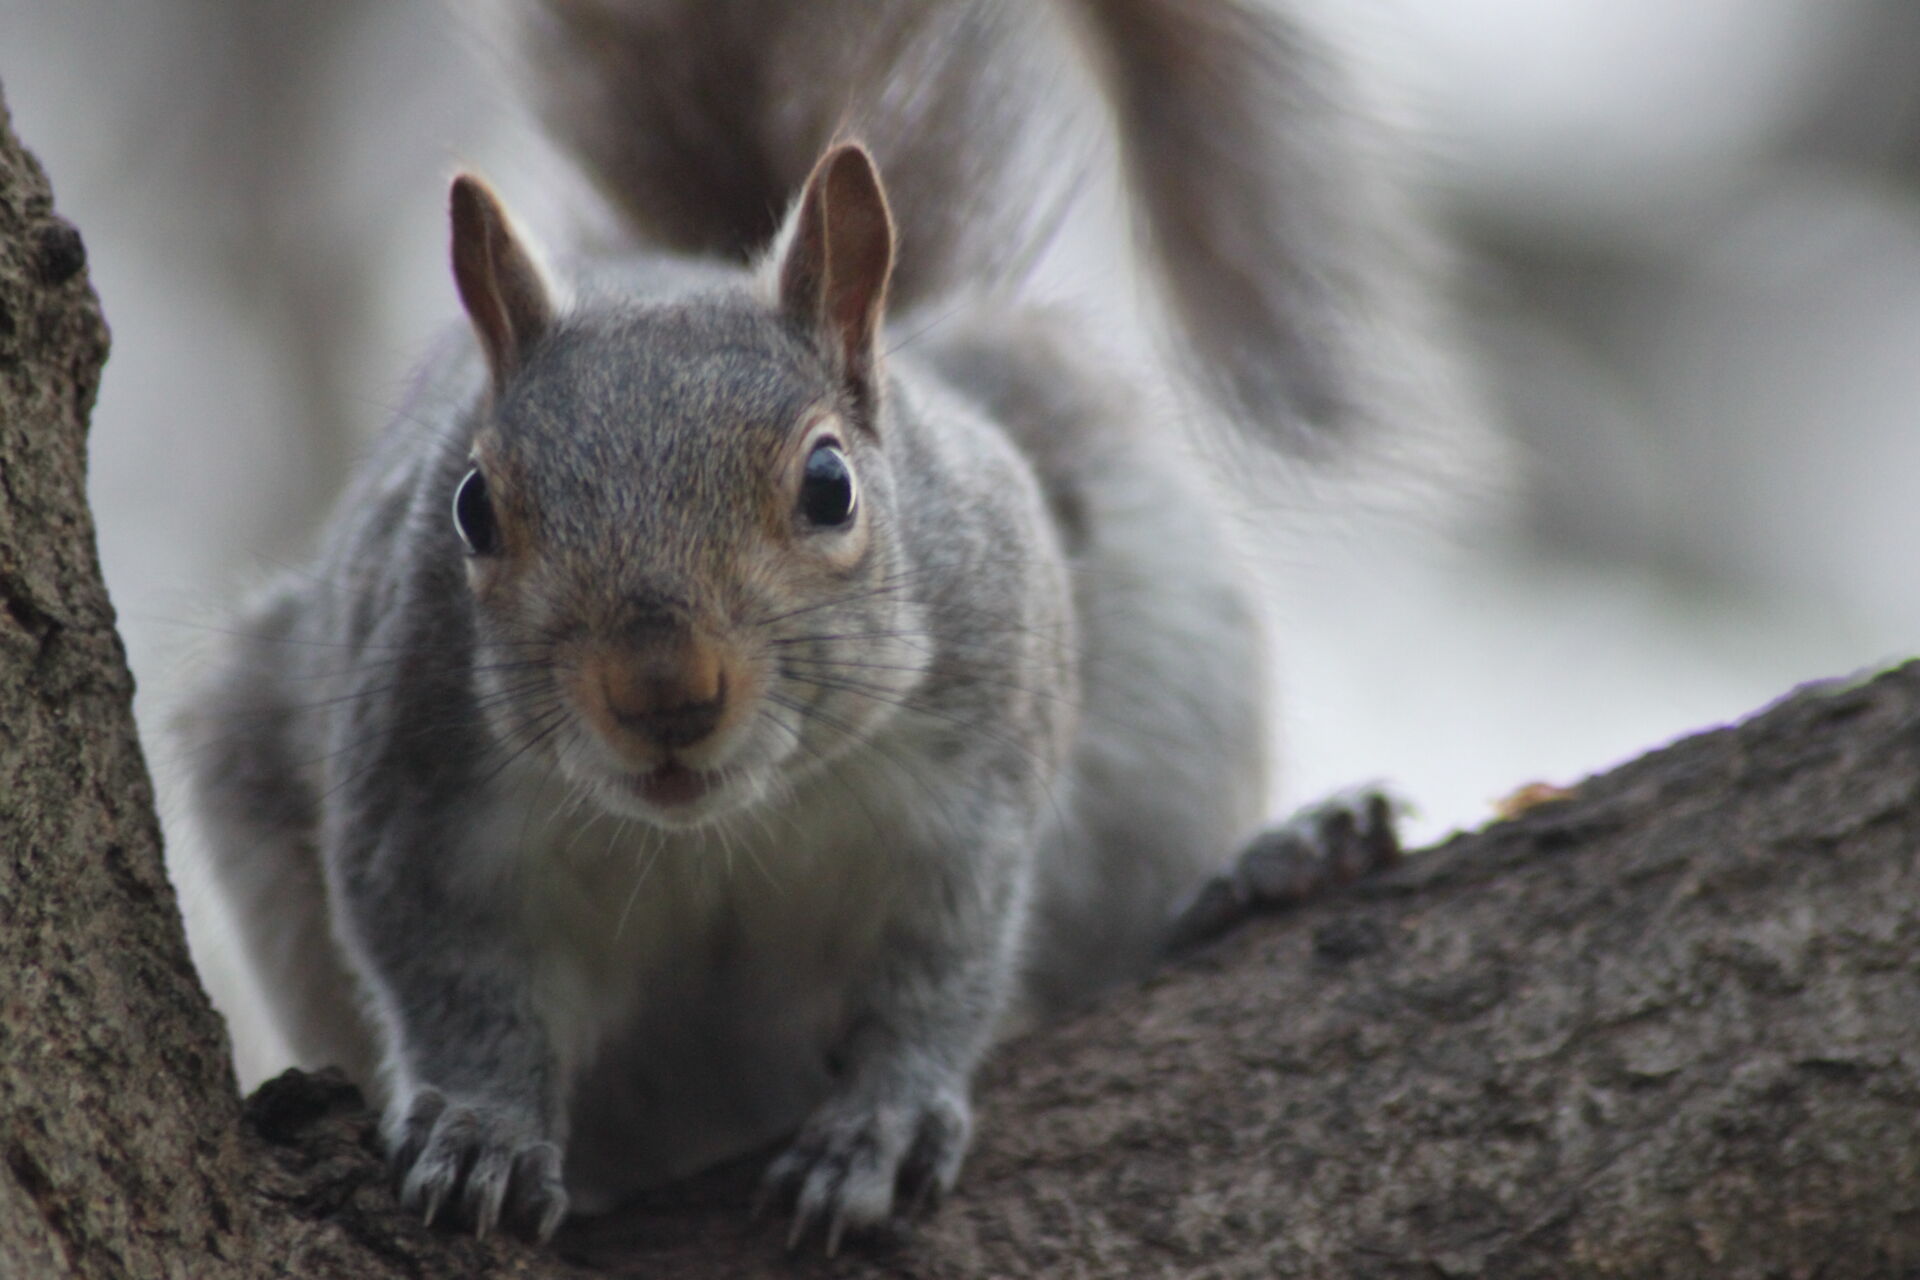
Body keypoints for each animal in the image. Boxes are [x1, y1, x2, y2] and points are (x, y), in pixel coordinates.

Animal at [180, 0, 1431, 1250]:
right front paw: (480, 1125)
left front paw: (883, 1119)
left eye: (831, 484)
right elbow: (452, 981)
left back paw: (1274, 863)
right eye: (472, 507)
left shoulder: (969, 796)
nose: (662, 689)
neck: (717, 824)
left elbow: (940, 971)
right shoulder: (418, 800)